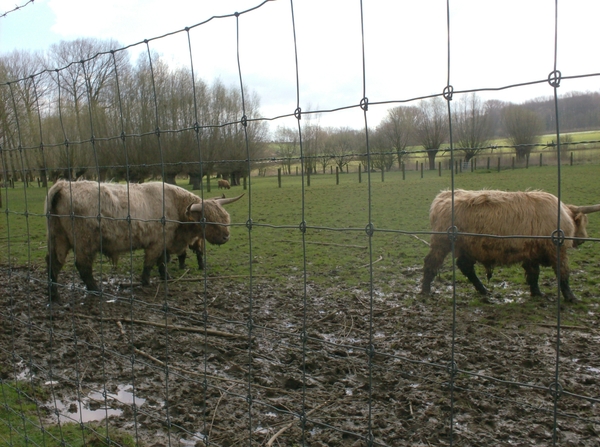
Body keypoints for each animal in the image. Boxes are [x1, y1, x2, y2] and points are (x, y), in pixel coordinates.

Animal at [45, 180, 244, 302]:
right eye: (207, 220)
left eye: (225, 217)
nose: (226, 236)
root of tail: (63, 185)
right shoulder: (157, 241)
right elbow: (150, 262)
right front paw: (146, 281)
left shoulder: (164, 242)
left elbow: (162, 261)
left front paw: (166, 277)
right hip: (84, 241)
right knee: (83, 266)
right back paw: (95, 290)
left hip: (58, 237)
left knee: (53, 263)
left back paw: (54, 295)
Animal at [422, 189, 600, 300]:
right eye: (582, 223)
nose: (583, 239)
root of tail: (443, 196)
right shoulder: (557, 250)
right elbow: (563, 273)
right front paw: (571, 297)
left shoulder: (531, 252)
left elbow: (534, 274)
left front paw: (537, 293)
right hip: (441, 243)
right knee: (431, 263)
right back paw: (425, 290)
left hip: (468, 247)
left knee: (465, 266)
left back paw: (483, 290)